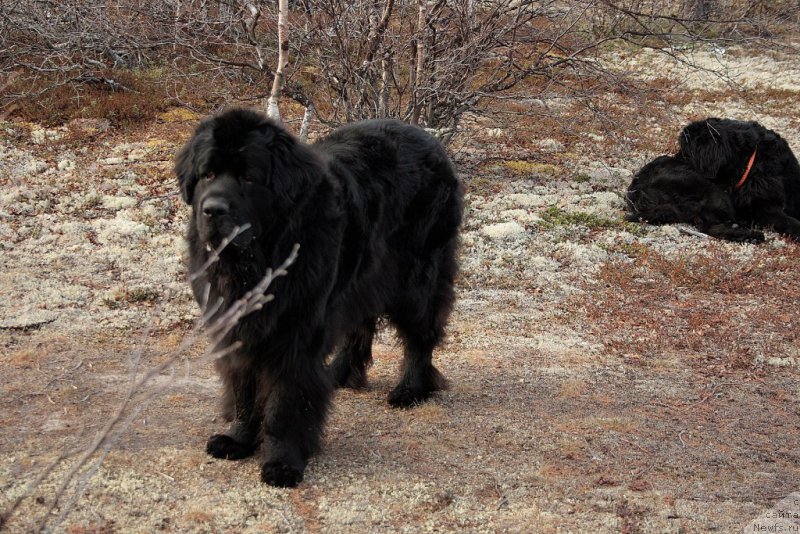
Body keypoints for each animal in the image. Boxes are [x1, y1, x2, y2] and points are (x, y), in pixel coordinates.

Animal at [175, 109, 462, 490]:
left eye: (249, 178)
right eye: (207, 174)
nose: (213, 210)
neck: (259, 261)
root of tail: (430, 139)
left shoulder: (295, 334)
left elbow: (284, 403)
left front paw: (282, 462)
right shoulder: (234, 328)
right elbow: (242, 390)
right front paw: (237, 439)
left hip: (417, 277)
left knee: (420, 335)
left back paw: (410, 389)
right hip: (361, 276)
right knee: (359, 326)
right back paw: (339, 374)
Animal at [624, 119, 800, 243]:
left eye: (685, 153)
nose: (673, 159)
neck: (753, 160)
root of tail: (635, 193)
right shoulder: (758, 206)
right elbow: (783, 219)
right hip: (711, 191)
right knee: (709, 228)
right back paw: (752, 235)